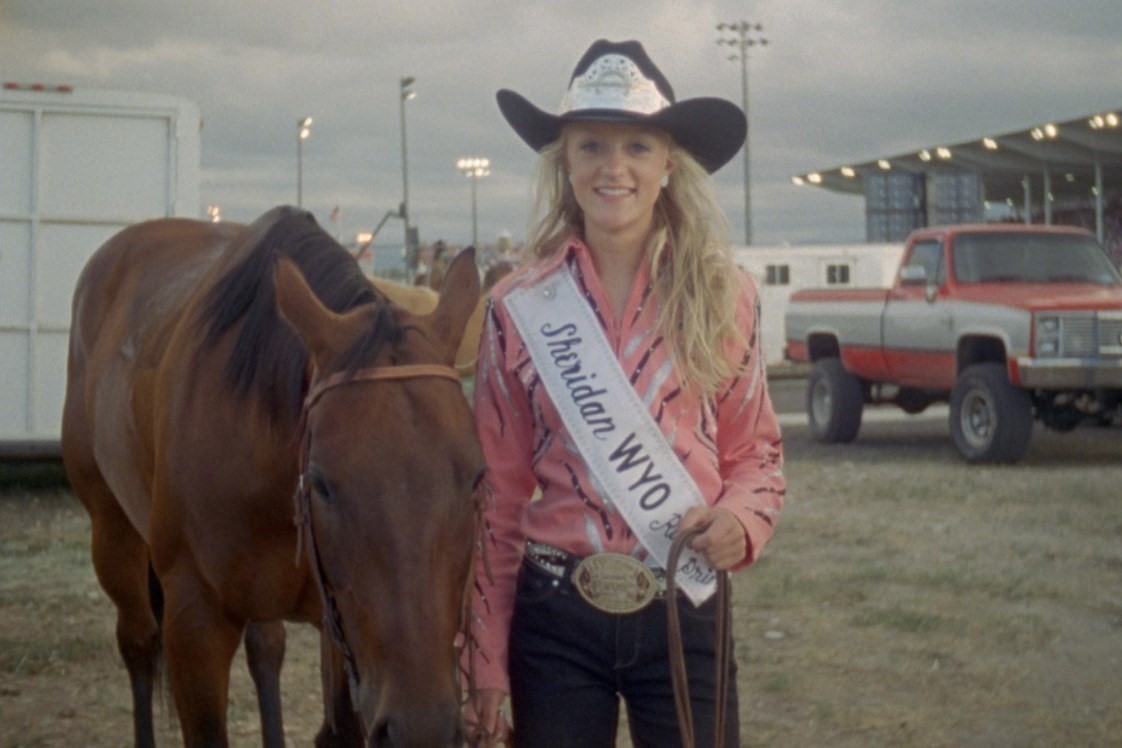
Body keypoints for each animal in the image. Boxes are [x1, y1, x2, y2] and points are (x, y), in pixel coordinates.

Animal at [61, 206, 482, 748]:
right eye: (321, 483)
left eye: (477, 477)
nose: (422, 728)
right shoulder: (194, 623)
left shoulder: (336, 627)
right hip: (111, 529)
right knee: (137, 642)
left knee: (266, 646)